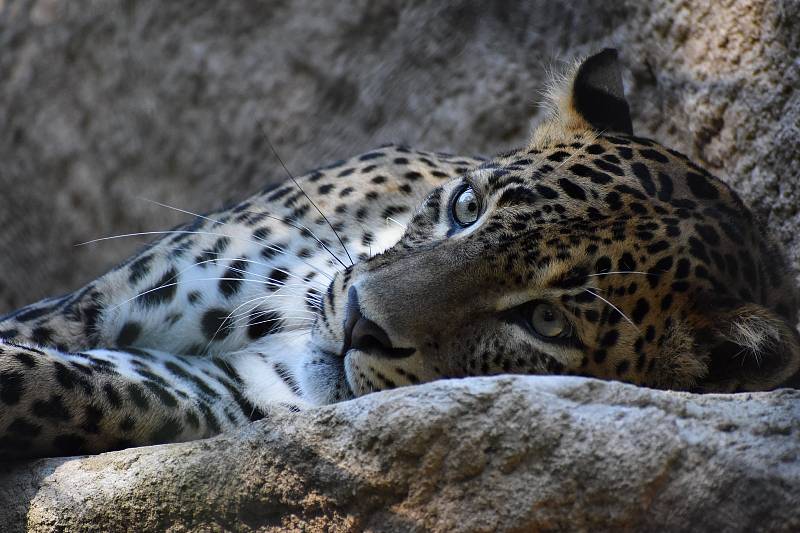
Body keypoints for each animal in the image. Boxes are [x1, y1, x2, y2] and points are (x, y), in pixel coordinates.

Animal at [0, 47, 796, 460]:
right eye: (467, 207)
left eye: (545, 322)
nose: (360, 319)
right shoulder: (92, 308)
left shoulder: (201, 392)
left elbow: (46, 385)